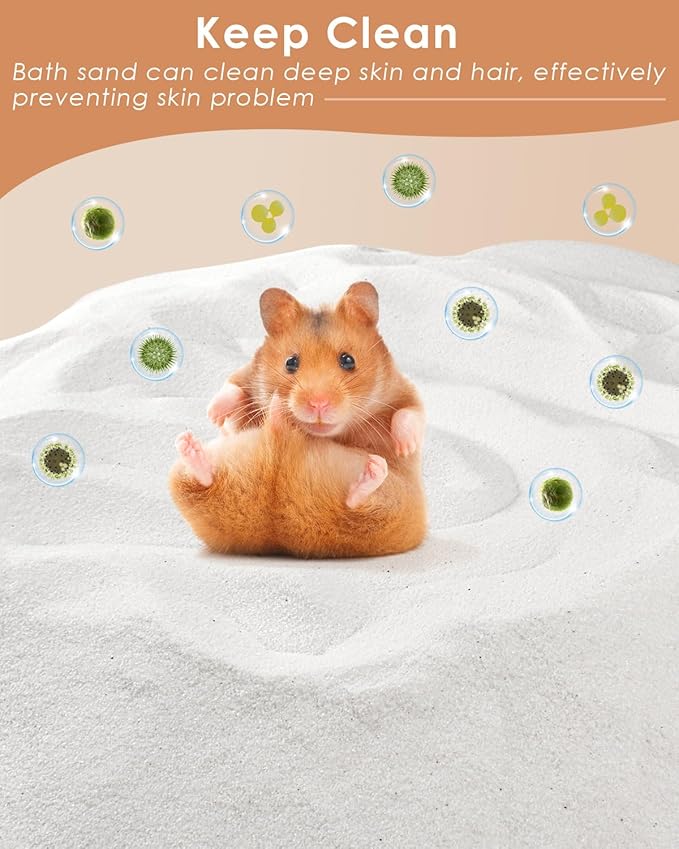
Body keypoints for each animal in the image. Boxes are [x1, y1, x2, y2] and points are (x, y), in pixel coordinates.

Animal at [169, 282, 426, 557]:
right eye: (290, 362)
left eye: (348, 360)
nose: (318, 404)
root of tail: (285, 537)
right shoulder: (246, 374)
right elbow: (232, 389)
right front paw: (214, 415)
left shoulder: (404, 390)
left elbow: (408, 413)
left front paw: (404, 446)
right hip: (191, 487)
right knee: (202, 482)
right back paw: (191, 444)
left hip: (391, 510)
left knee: (357, 506)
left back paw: (373, 469)